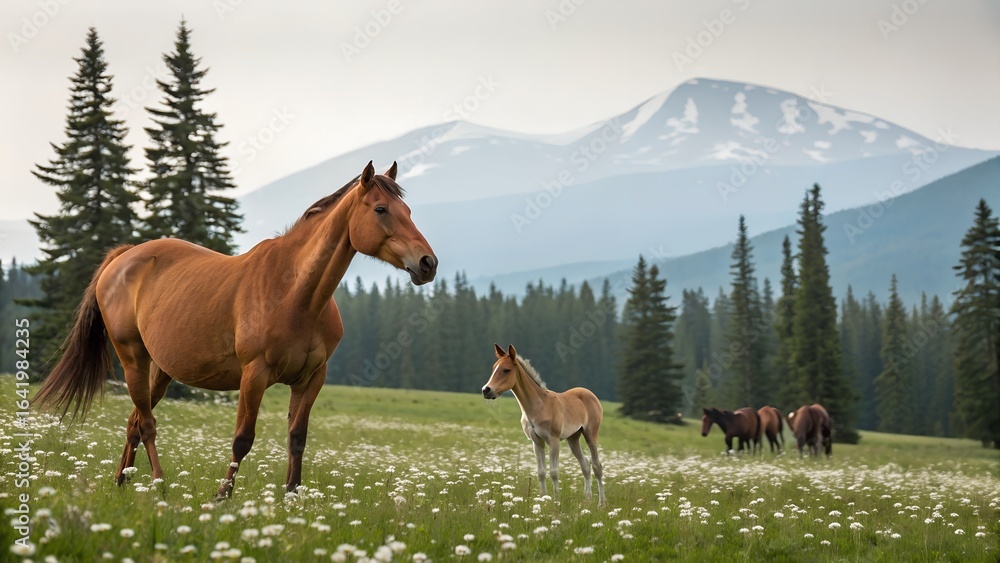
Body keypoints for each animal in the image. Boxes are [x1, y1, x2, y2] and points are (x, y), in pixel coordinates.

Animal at [34, 161, 437, 498]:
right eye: (380, 209)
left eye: (408, 211)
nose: (427, 263)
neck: (297, 294)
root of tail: (124, 257)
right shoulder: (254, 375)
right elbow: (243, 440)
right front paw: (222, 496)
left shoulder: (311, 378)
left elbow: (297, 438)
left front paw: (292, 497)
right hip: (132, 357)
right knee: (146, 424)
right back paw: (159, 486)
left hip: (160, 370)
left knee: (134, 422)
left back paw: (122, 482)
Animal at [482, 344, 605, 504]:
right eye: (493, 368)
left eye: (506, 370)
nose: (486, 390)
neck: (538, 406)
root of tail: (591, 394)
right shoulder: (536, 442)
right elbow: (541, 472)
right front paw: (543, 500)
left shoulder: (553, 441)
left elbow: (554, 472)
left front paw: (556, 502)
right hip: (573, 438)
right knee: (585, 465)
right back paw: (587, 498)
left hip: (590, 434)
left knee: (597, 466)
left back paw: (601, 503)